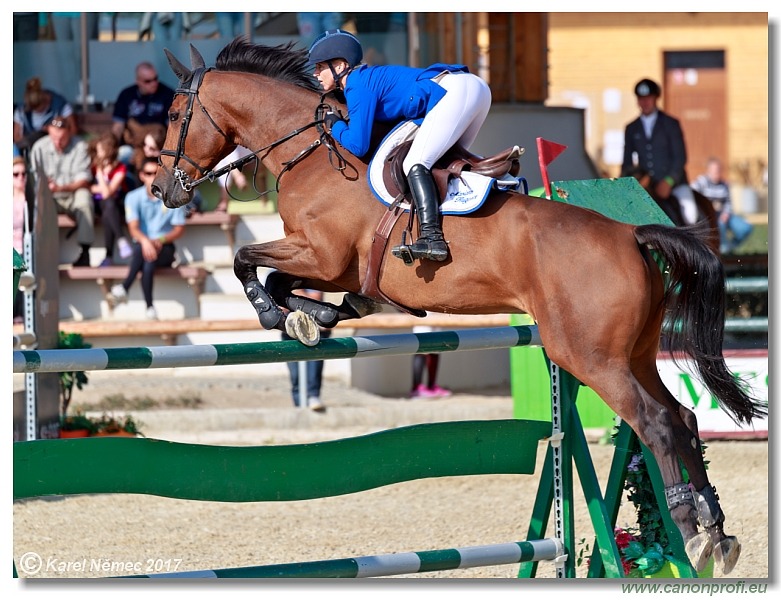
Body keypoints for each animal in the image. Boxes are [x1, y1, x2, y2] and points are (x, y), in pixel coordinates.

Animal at [151, 38, 760, 576]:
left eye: (176, 113)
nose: (161, 190)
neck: (311, 152)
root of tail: (631, 233)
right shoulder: (333, 266)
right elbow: (292, 281)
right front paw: (314, 316)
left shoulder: (321, 254)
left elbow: (245, 260)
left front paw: (276, 313)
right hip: (631, 353)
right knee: (682, 416)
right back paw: (717, 530)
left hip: (590, 357)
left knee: (655, 421)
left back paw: (689, 530)